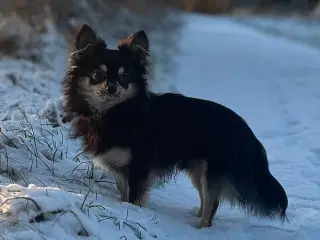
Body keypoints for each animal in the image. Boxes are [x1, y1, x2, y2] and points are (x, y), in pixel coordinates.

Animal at [62, 24, 288, 229]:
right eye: (98, 75)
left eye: (125, 78)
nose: (112, 88)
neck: (116, 113)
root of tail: (246, 130)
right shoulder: (122, 170)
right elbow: (123, 194)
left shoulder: (138, 169)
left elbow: (132, 199)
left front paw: (131, 214)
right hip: (198, 171)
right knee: (205, 199)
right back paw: (195, 216)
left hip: (211, 171)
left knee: (212, 203)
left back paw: (201, 228)